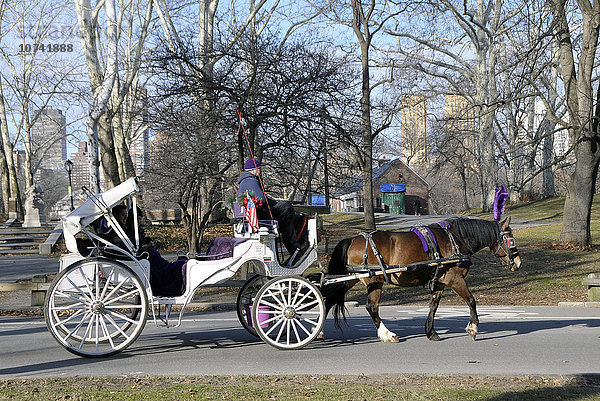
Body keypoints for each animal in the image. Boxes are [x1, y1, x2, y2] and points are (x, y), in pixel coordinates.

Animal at [324, 216, 520, 340]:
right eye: (510, 240)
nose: (517, 262)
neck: (456, 240)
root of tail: (352, 239)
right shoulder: (455, 279)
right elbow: (471, 300)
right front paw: (473, 328)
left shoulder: (440, 282)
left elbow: (433, 306)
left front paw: (431, 332)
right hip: (374, 281)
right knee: (371, 307)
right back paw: (387, 334)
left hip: (350, 279)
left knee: (328, 301)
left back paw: (319, 332)